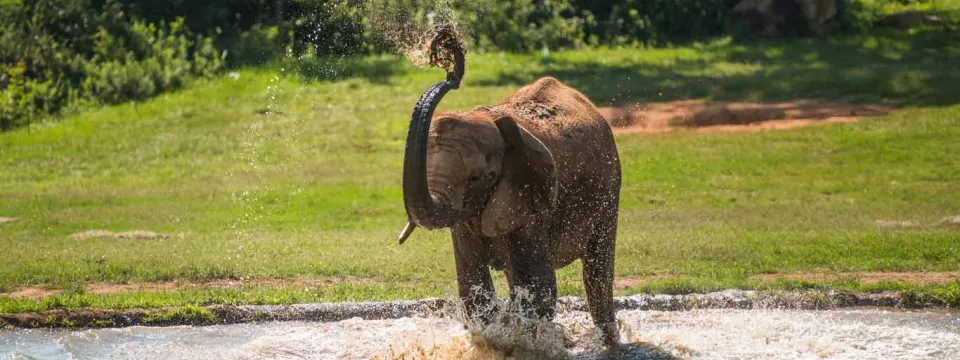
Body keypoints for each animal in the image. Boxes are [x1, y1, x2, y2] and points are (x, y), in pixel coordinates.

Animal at [398, 26, 624, 348]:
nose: (447, 49)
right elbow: (474, 289)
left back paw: (610, 343)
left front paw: (514, 340)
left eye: (478, 178)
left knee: (596, 272)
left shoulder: (533, 200)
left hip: (610, 186)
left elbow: (539, 290)